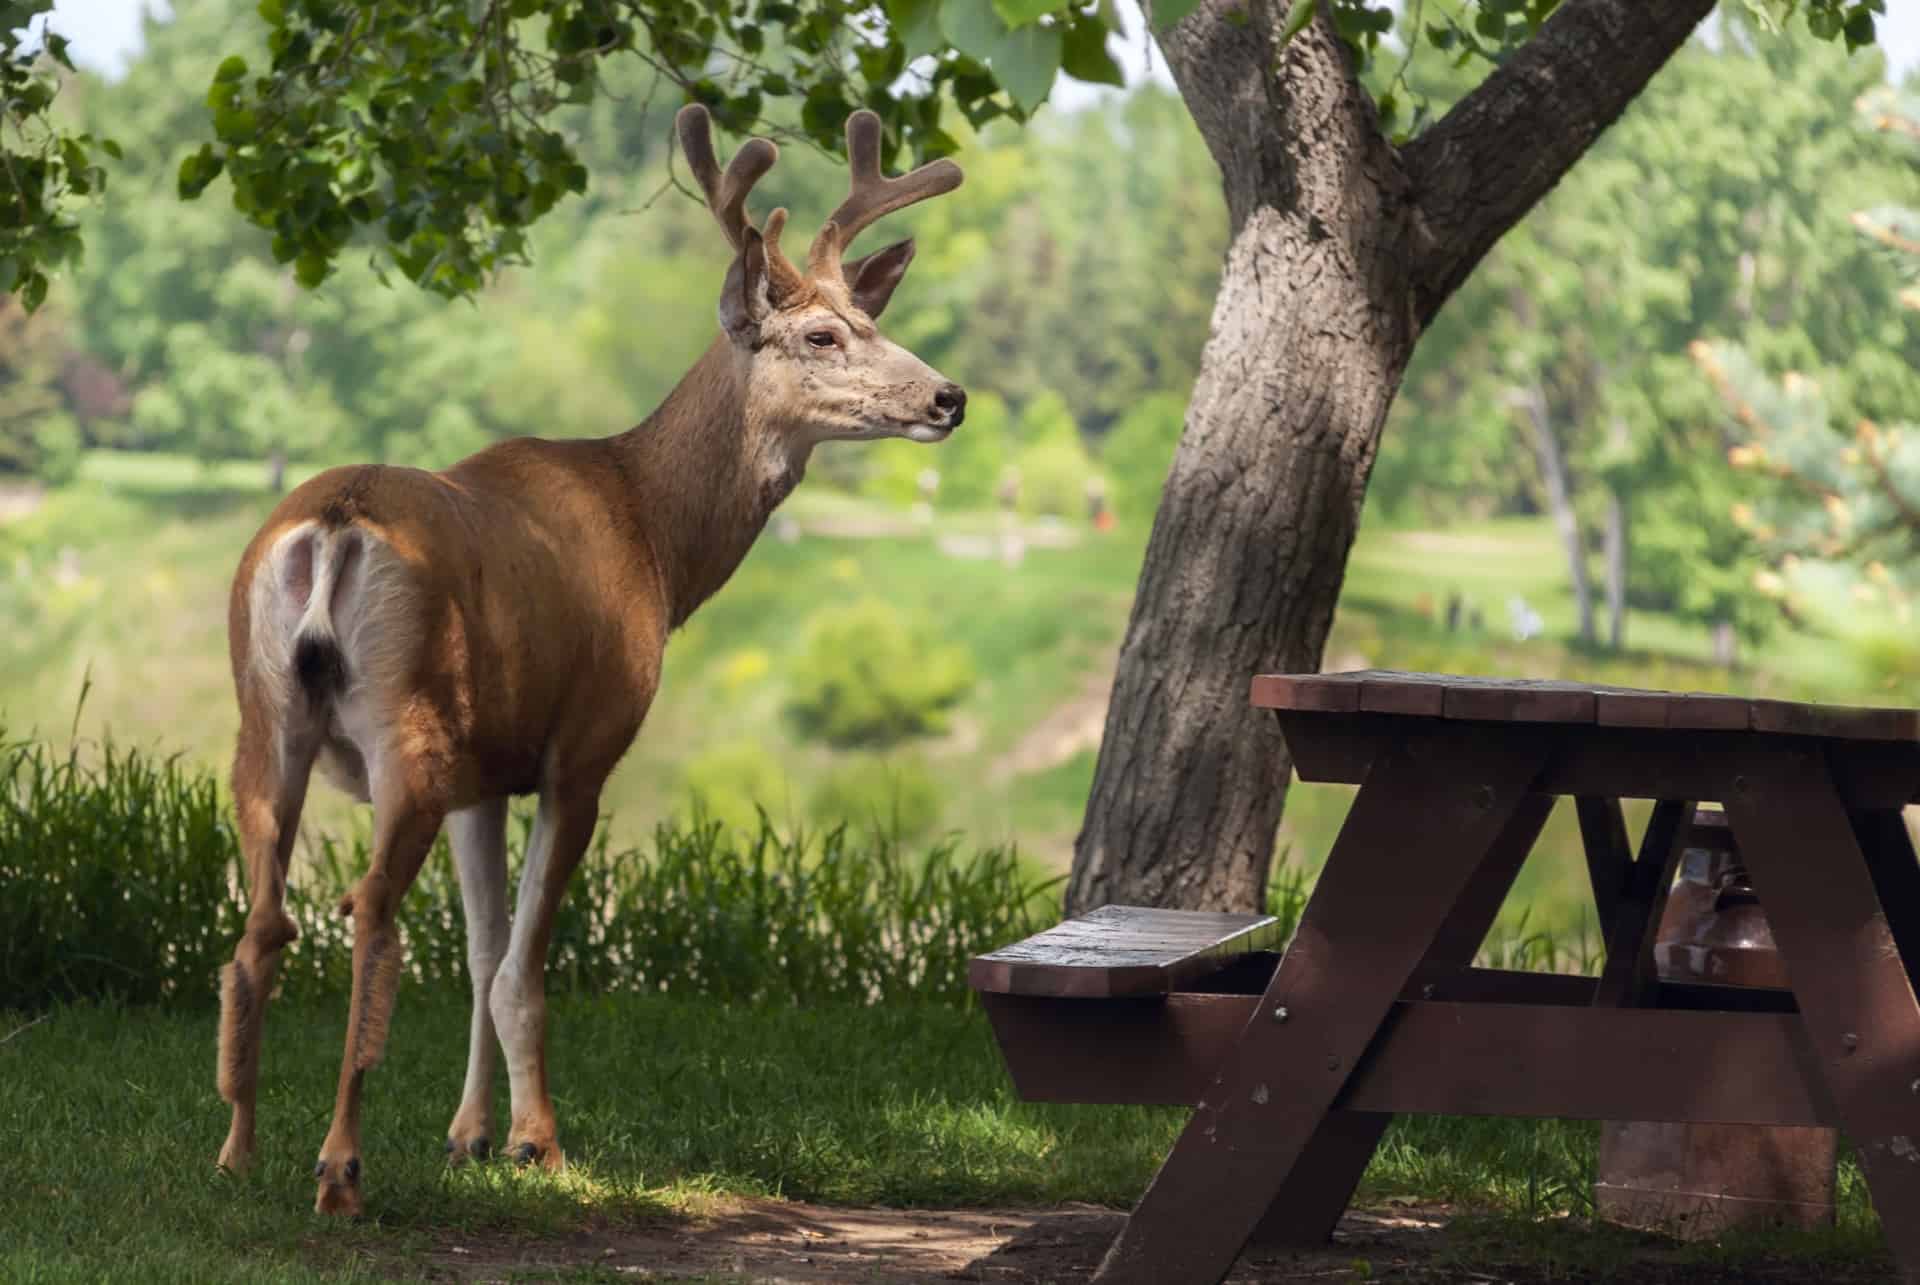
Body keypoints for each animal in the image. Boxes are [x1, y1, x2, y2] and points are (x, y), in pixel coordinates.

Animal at [212, 102, 967, 1213]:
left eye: (869, 320)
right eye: (822, 334)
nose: (948, 397)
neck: (654, 537)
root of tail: (336, 524)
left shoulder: (486, 773)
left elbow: (481, 951)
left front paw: (468, 1137)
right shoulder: (583, 747)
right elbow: (522, 965)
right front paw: (539, 1143)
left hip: (266, 717)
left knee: (264, 921)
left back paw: (238, 1151)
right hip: (407, 723)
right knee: (371, 912)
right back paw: (337, 1166)